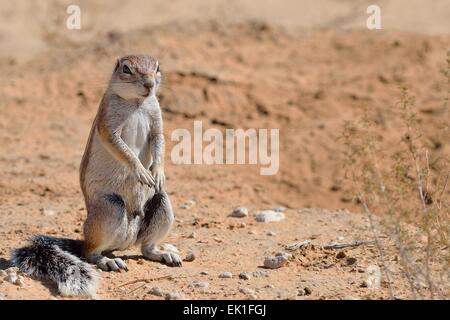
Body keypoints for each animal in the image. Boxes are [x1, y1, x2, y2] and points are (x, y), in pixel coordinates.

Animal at [11, 55, 179, 298]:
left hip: (161, 204)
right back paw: (108, 261)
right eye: (126, 69)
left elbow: (160, 142)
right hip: (111, 208)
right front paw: (140, 170)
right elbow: (120, 147)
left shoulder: (156, 120)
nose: (149, 85)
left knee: (146, 247)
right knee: (91, 252)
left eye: (157, 67)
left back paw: (163, 253)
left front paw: (157, 173)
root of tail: (125, 241)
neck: (137, 103)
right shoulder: (107, 122)